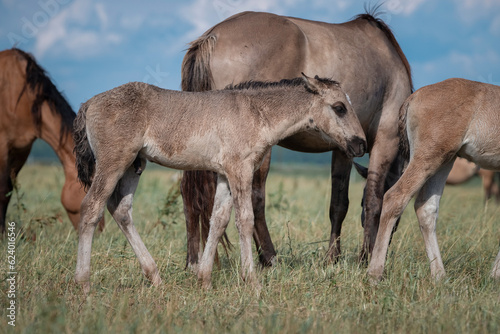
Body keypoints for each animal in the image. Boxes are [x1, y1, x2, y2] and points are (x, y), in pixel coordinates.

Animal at [0, 48, 102, 234]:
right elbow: (3, 190)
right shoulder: (3, 145)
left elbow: (9, 189)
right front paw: (3, 234)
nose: (99, 231)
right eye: (89, 188)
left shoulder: (21, 148)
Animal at [72, 75, 366, 292]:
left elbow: (219, 220)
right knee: (91, 207)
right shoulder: (240, 171)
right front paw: (252, 281)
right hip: (114, 163)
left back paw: (155, 277)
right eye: (339, 107)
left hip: (135, 166)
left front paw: (204, 280)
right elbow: (245, 220)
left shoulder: (225, 175)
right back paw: (83, 283)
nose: (361, 144)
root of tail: (89, 102)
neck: (255, 113)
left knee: (121, 210)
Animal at [182, 10, 412, 268]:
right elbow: (375, 200)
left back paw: (194, 260)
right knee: (254, 199)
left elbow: (339, 204)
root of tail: (213, 35)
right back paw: (268, 257)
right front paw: (367, 258)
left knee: (190, 194)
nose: (386, 245)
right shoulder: (386, 140)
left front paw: (333, 258)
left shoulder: (344, 148)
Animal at [366, 79, 500, 282]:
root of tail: (414, 96)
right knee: (395, 197)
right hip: (429, 157)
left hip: (445, 160)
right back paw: (375, 273)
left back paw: (439, 275)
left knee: (426, 207)